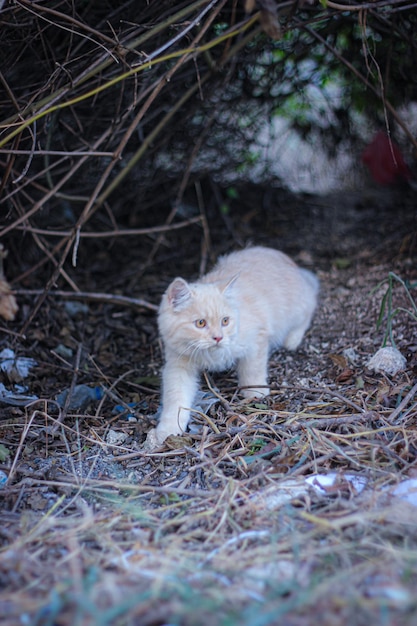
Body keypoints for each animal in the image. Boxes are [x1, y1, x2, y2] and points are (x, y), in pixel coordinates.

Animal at [144, 245, 318, 448]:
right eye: (200, 323)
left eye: (225, 321)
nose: (218, 337)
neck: (210, 354)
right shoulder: (178, 365)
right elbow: (176, 399)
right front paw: (167, 430)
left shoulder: (256, 339)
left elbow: (252, 371)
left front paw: (256, 393)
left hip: (296, 307)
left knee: (310, 307)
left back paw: (292, 339)